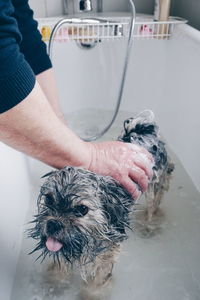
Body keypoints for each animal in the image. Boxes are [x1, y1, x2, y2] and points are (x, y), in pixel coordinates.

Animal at [29, 109, 173, 286]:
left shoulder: (106, 255)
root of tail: (143, 129)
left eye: (82, 209)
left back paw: (149, 225)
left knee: (154, 204)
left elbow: (96, 283)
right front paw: (52, 282)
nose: (54, 224)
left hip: (156, 182)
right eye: (49, 199)